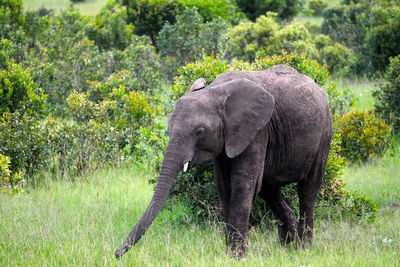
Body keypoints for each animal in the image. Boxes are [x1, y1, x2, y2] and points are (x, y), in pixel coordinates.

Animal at [115, 65, 332, 260]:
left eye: (200, 132)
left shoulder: (256, 131)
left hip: (324, 135)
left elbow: (242, 183)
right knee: (269, 191)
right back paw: (287, 245)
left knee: (307, 191)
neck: (215, 91)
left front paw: (238, 257)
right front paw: (231, 255)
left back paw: (303, 249)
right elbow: (224, 185)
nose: (116, 254)